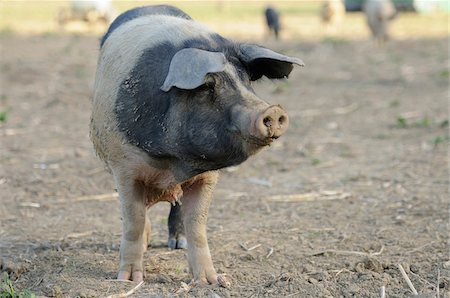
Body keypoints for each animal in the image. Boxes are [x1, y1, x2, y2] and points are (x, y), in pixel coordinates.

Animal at [89, 4, 304, 284]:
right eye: (206, 86)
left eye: (247, 81)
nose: (273, 111)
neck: (174, 162)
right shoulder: (124, 166)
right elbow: (133, 219)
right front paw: (128, 280)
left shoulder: (207, 176)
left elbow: (197, 224)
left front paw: (211, 281)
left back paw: (177, 244)